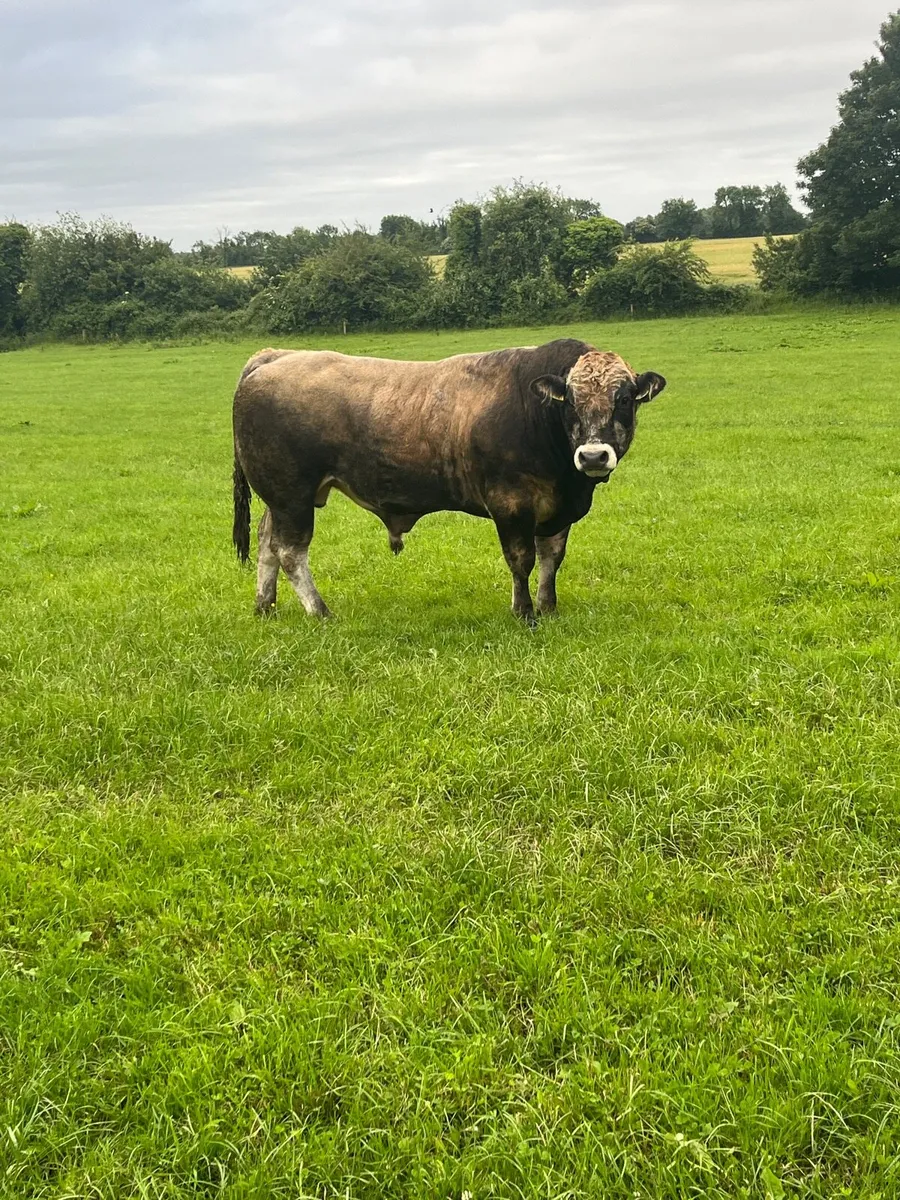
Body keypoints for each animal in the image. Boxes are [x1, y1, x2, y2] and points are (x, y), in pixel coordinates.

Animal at [232, 339, 666, 624]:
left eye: (624, 398)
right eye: (571, 400)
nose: (593, 456)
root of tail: (276, 356)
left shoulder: (555, 510)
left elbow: (551, 559)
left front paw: (548, 607)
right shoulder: (511, 503)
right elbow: (521, 559)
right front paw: (525, 613)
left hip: (280, 499)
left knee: (268, 544)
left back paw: (265, 605)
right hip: (292, 495)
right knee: (290, 551)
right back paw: (320, 612)